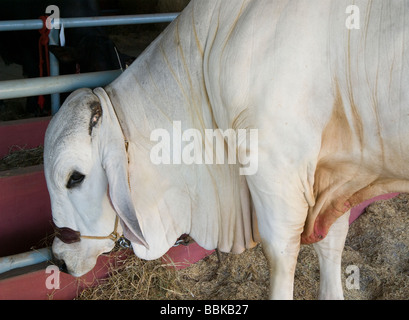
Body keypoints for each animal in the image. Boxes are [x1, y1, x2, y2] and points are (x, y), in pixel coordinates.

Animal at [43, 0, 408, 300]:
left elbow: (281, 255)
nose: (58, 259)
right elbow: (331, 243)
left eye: (75, 178)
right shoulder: (332, 172)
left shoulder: (277, 168)